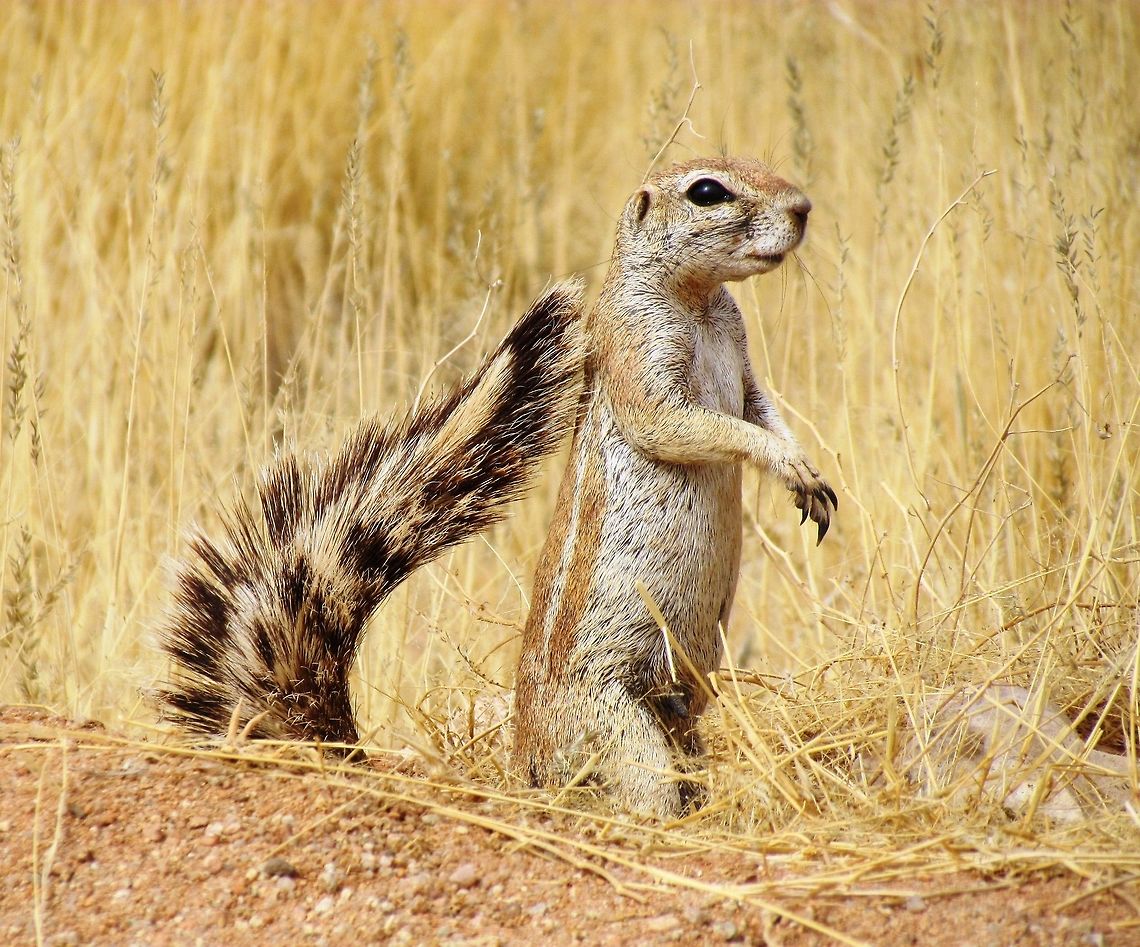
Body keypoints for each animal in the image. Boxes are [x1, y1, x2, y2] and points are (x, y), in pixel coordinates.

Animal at [512, 157, 838, 818]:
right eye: (707, 192)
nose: (804, 207)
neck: (700, 300)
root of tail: (527, 762)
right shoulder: (640, 348)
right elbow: (689, 423)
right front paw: (786, 463)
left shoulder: (743, 363)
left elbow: (759, 408)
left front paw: (810, 479)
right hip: (624, 734)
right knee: (644, 796)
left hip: (682, 724)